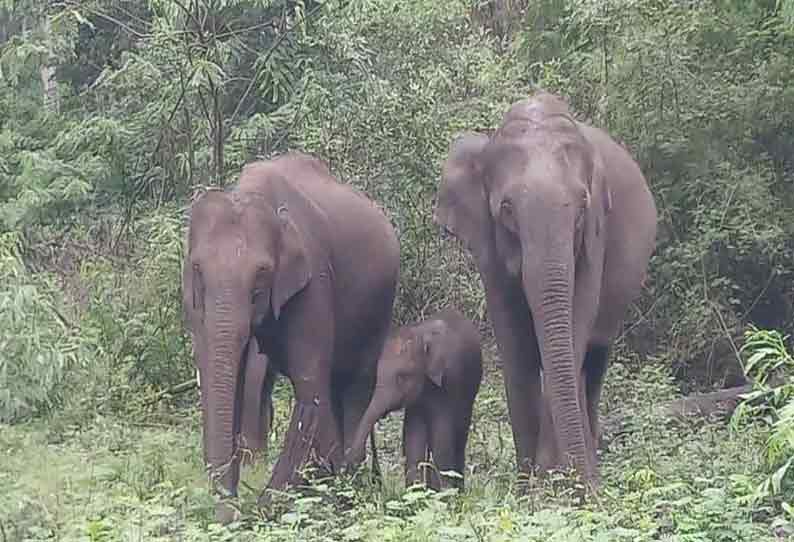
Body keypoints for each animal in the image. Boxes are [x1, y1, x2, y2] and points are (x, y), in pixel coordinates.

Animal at [183, 153, 400, 524]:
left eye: (262, 274)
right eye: (197, 268)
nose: (228, 512)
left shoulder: (314, 278)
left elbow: (309, 384)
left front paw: (268, 507)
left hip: (379, 309)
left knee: (354, 386)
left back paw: (347, 486)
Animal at [342, 308, 480, 490]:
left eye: (402, 376)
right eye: (377, 374)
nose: (350, 461)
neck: (421, 336)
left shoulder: (449, 382)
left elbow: (441, 436)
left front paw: (440, 493)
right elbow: (412, 437)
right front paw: (416, 492)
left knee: (459, 432)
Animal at [434, 91, 656, 490]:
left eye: (582, 208)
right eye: (506, 209)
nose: (589, 493)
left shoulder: (596, 237)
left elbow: (576, 322)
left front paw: (557, 482)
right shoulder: (487, 246)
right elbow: (514, 341)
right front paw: (530, 489)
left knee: (594, 362)